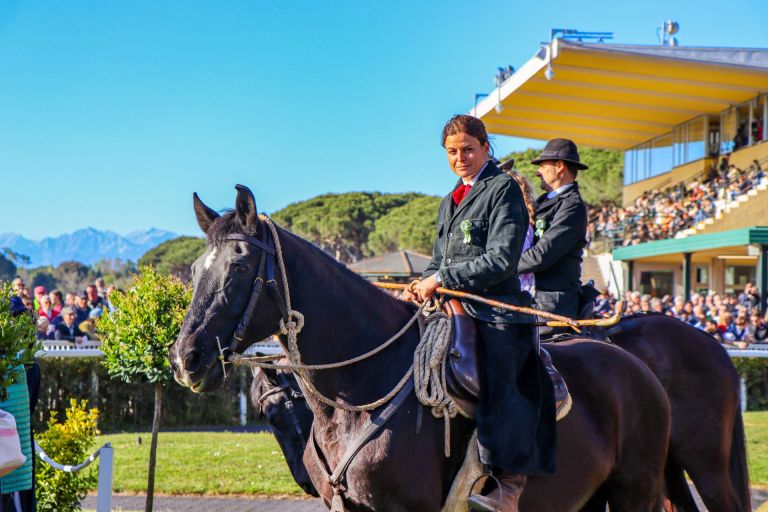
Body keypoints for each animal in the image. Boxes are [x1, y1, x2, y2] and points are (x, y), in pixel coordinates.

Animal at [170, 185, 671, 511]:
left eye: (238, 267)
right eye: (194, 271)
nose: (186, 357)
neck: (357, 396)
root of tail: (639, 368)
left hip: (636, 493)